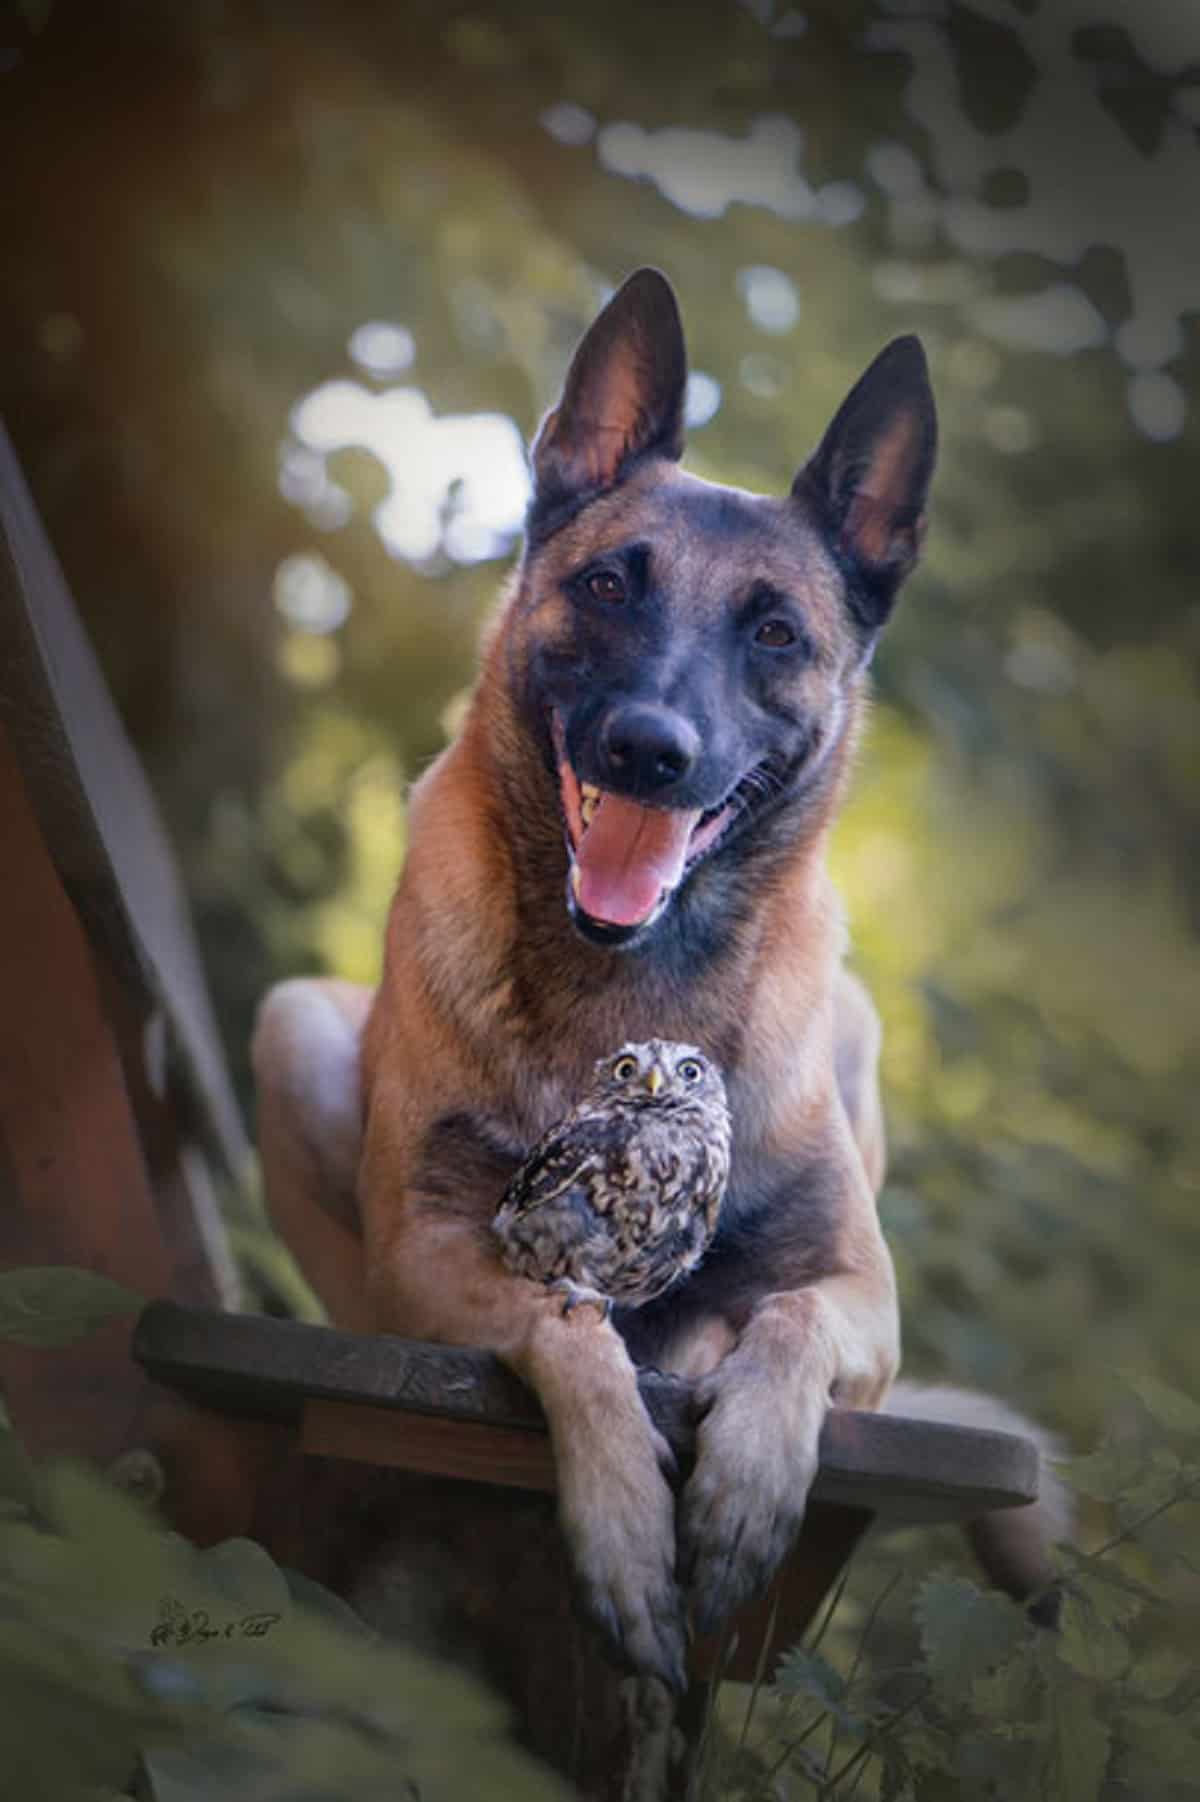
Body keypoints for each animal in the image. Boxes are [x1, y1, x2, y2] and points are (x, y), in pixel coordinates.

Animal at [254, 266, 1066, 1686]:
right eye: (609, 584)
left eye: (777, 631)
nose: (648, 749)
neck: (637, 989)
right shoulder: (430, 1254)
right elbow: (565, 1324)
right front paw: (628, 1531)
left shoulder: (860, 1295)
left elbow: (785, 1323)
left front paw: (743, 1490)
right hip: (293, 1026)